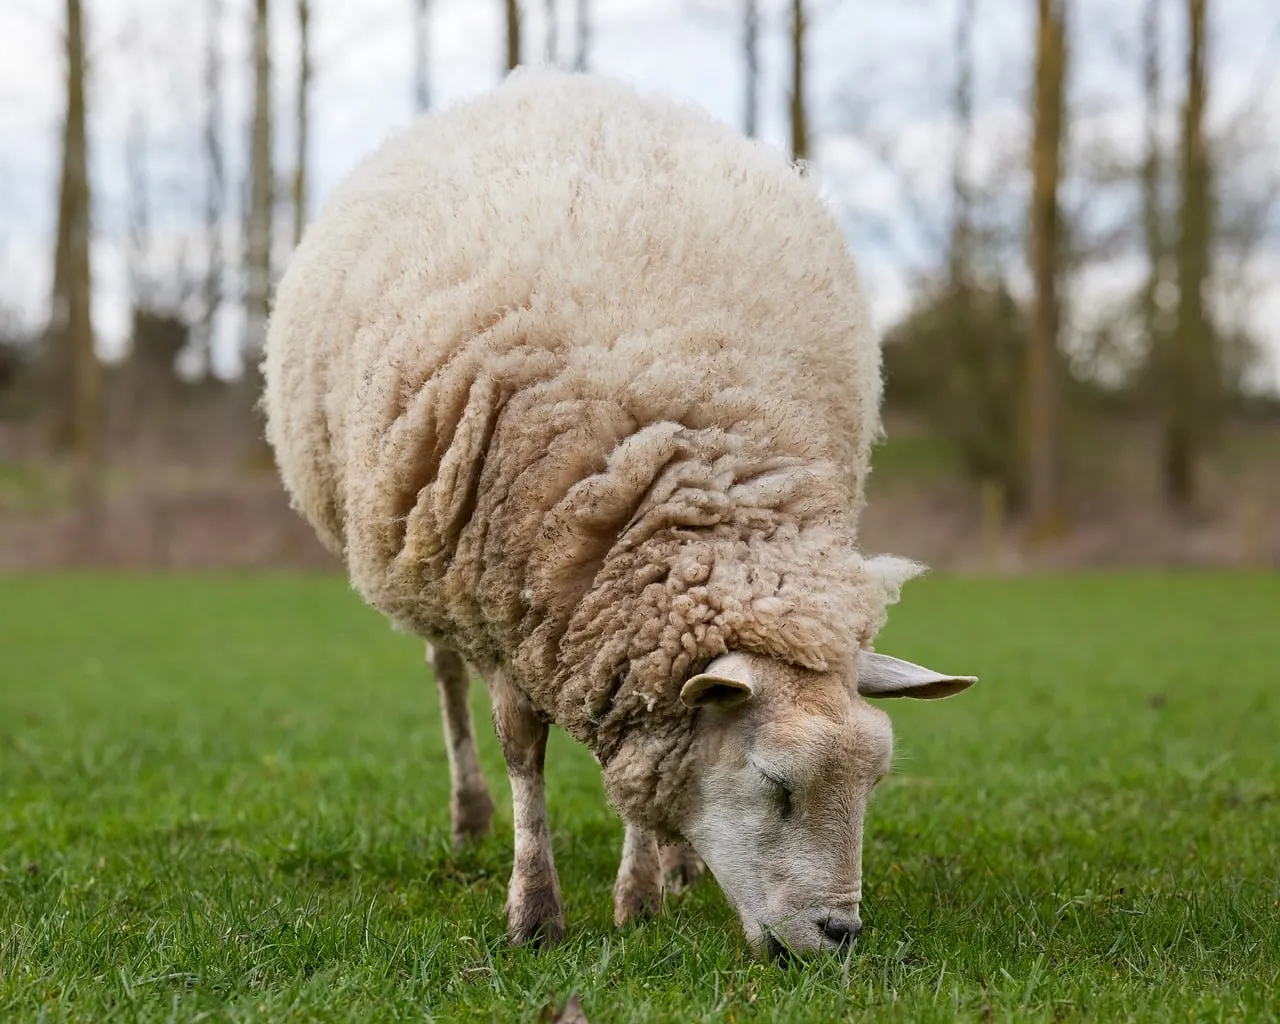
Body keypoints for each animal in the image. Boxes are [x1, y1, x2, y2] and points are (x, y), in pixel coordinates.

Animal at [263, 67, 976, 957]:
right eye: (776, 783)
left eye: (874, 782)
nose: (840, 933)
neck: (702, 488)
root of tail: (551, 81)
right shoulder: (506, 600)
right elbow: (523, 751)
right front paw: (535, 911)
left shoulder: (619, 631)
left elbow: (647, 762)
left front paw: (640, 894)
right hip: (431, 564)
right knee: (446, 677)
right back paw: (470, 816)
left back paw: (676, 864)